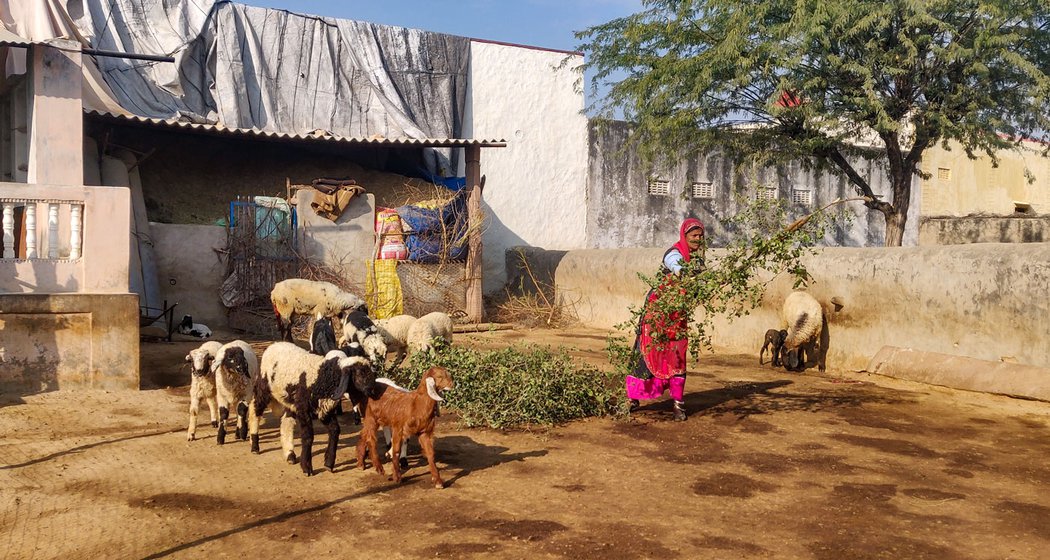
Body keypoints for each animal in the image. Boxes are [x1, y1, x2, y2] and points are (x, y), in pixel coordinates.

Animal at [250, 340, 377, 476]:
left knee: (286, 422)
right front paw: (307, 468)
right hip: (264, 388)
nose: (374, 391)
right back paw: (255, 446)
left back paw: (290, 454)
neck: (323, 377)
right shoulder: (304, 409)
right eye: (359, 374)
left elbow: (335, 430)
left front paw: (329, 463)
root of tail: (275, 344)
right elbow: (308, 436)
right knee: (255, 410)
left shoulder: (324, 410)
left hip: (291, 401)